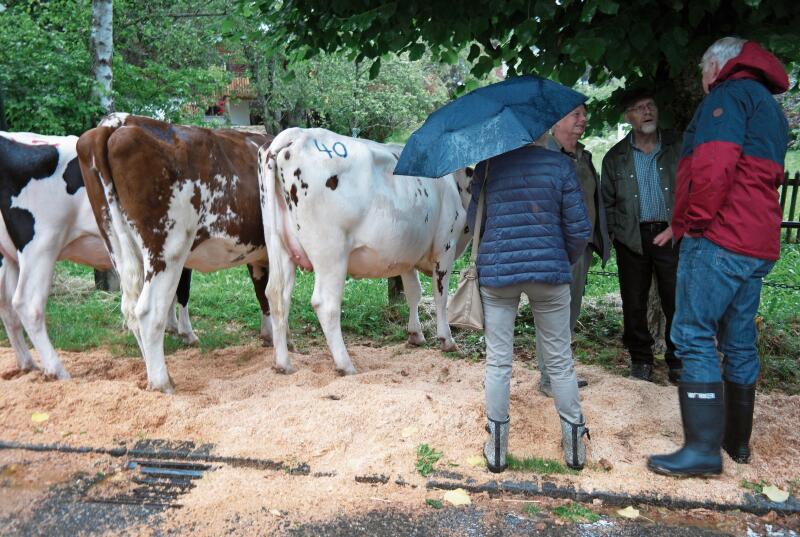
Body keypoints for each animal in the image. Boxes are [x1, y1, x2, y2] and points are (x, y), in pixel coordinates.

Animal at [0, 131, 198, 378]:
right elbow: (183, 290)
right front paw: (187, 332)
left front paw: (172, 326)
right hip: (41, 245)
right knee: (27, 303)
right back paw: (59, 371)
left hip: (9, 256)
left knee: (6, 306)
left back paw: (27, 364)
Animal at [77, 113, 276, 392]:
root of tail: (119, 121)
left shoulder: (257, 252)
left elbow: (262, 292)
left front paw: (268, 335)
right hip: (169, 249)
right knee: (148, 311)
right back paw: (162, 383)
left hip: (117, 245)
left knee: (131, 309)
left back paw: (153, 372)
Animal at [260, 127, 472, 374]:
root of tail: (297, 134)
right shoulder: (445, 246)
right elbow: (440, 295)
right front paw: (446, 340)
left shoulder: (406, 255)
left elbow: (413, 293)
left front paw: (415, 334)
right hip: (331, 251)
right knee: (325, 303)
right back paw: (346, 365)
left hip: (279, 246)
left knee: (277, 296)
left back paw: (283, 364)